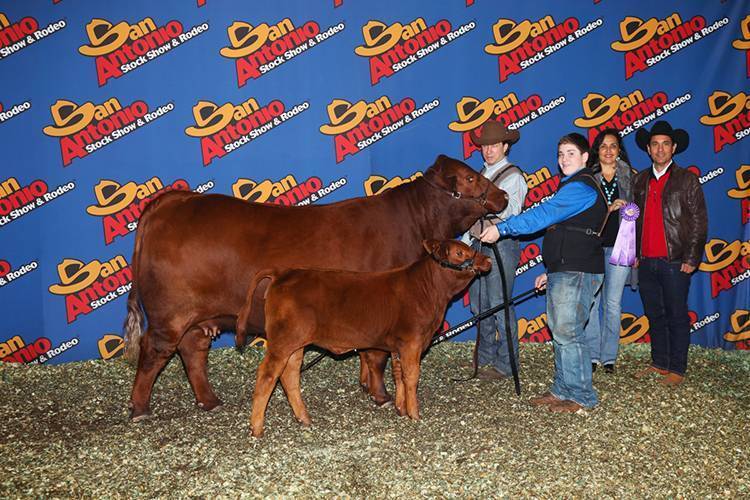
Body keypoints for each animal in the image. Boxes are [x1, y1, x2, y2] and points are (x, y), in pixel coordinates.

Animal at [237, 239, 492, 437]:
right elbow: (411, 377)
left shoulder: (398, 345)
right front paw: (414, 414)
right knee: (267, 375)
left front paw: (400, 409)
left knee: (289, 375)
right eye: (459, 253)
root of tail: (285, 272)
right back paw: (257, 428)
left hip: (296, 344)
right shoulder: (412, 342)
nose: (487, 260)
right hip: (282, 341)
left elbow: (398, 375)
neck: (430, 292)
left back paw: (304, 419)